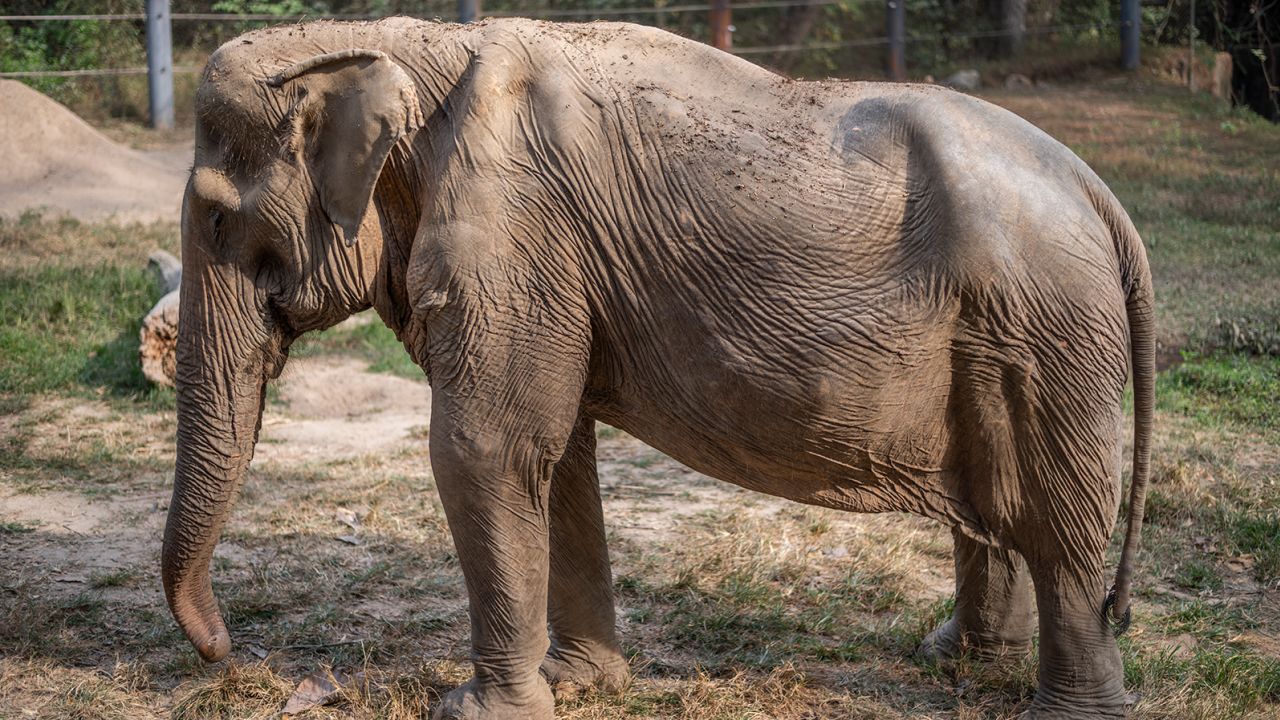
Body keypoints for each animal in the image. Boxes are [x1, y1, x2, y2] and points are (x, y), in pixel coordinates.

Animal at [165, 18, 1157, 717]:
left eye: (216, 221)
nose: (229, 652)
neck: (406, 45)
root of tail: (1102, 196)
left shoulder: (515, 233)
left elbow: (485, 449)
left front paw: (475, 710)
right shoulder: (552, 263)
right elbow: (556, 454)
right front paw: (581, 685)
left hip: (1048, 334)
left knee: (1059, 523)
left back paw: (1065, 710)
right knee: (1002, 505)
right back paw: (954, 662)